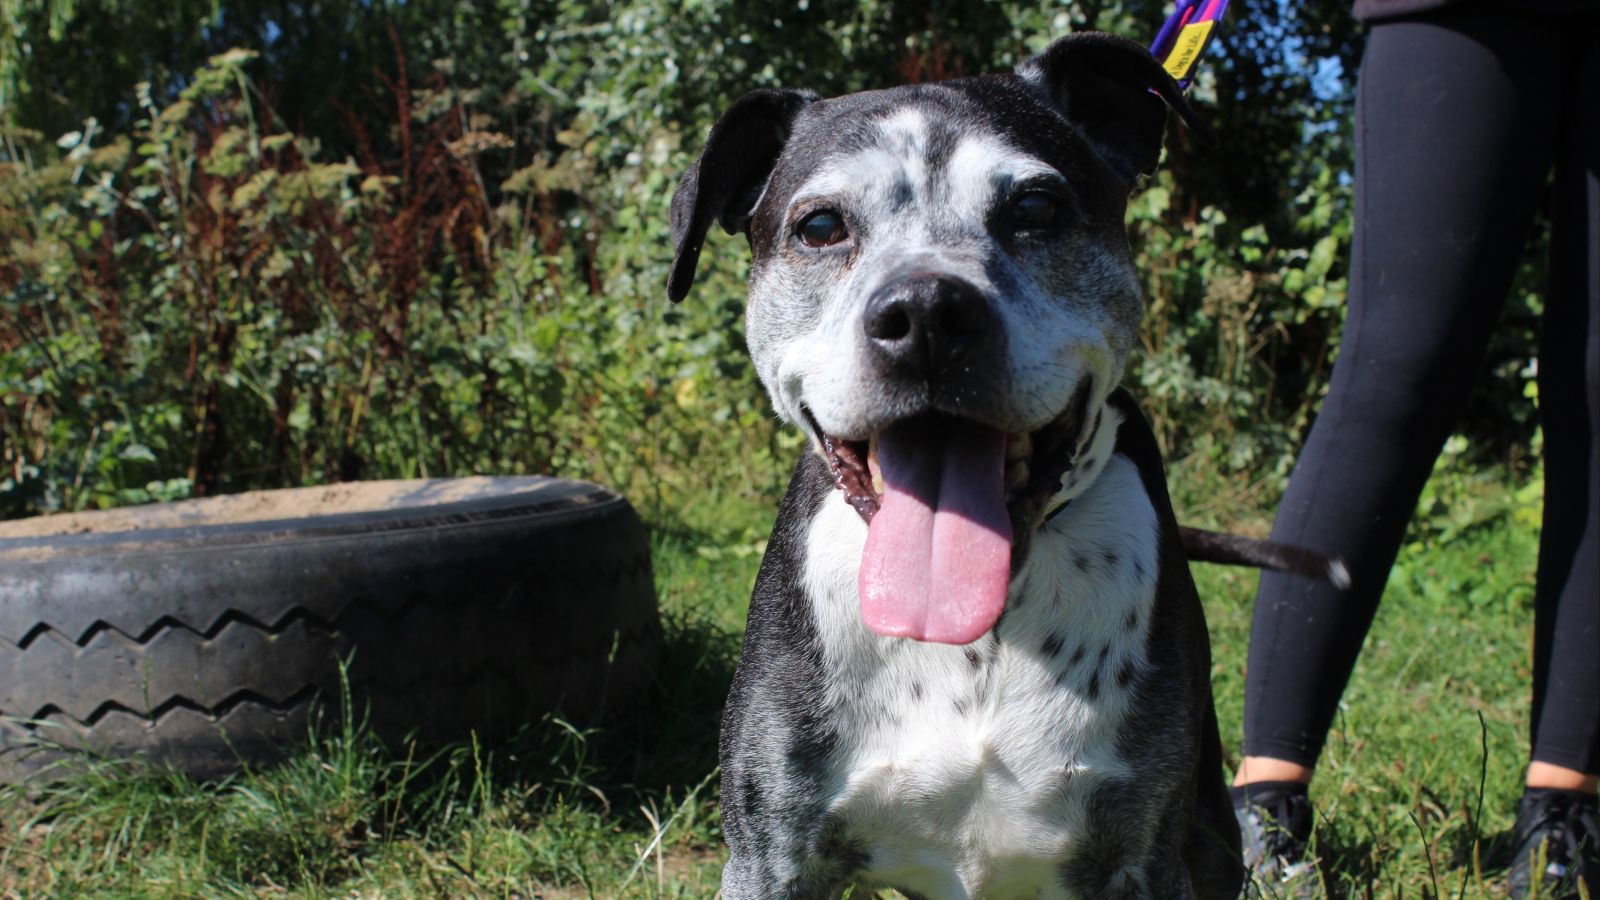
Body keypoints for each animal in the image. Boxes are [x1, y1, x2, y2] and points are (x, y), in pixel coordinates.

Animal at [668, 29, 1241, 896]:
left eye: (1035, 208)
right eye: (821, 225)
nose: (927, 313)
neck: (974, 640)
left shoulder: (1142, 859)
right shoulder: (771, 853)